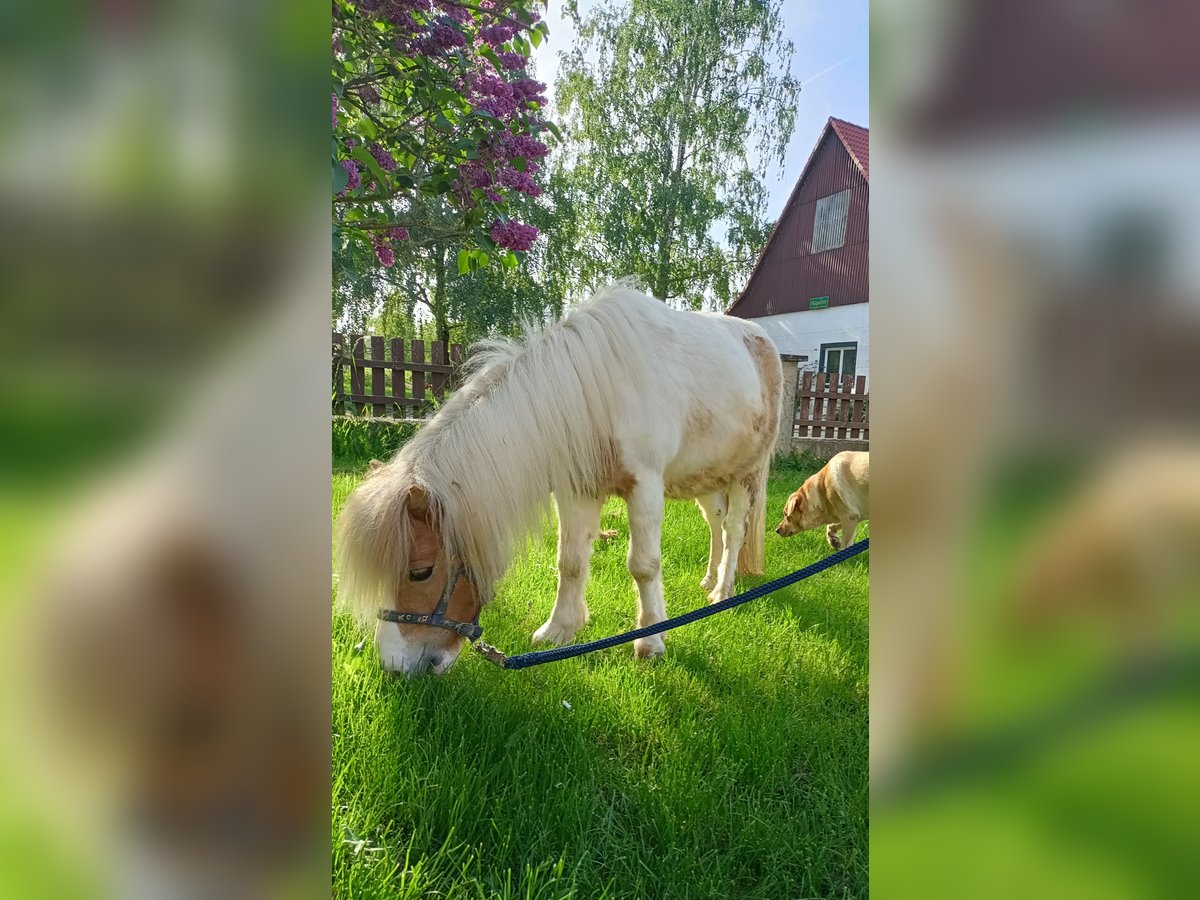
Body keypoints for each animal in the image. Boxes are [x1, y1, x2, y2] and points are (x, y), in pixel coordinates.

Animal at [338, 283, 782, 676]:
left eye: (420, 572)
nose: (395, 666)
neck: (596, 391)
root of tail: (765, 341)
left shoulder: (645, 488)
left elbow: (643, 566)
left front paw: (651, 642)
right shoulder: (577, 491)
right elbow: (569, 562)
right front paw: (559, 630)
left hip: (746, 475)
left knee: (734, 530)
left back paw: (722, 591)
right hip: (706, 479)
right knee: (715, 525)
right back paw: (708, 581)